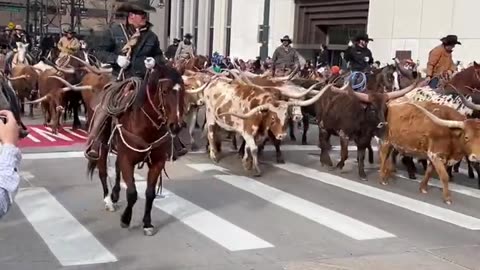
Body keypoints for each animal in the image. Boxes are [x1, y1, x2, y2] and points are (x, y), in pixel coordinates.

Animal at [87, 63, 185, 236]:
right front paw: (125, 219)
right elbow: (132, 193)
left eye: (183, 91)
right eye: (165, 91)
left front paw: (147, 223)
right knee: (103, 172)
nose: (176, 126)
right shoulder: (127, 160)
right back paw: (108, 200)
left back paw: (114, 194)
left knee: (116, 169)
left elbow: (150, 193)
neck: (145, 126)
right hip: (101, 145)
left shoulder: (157, 162)